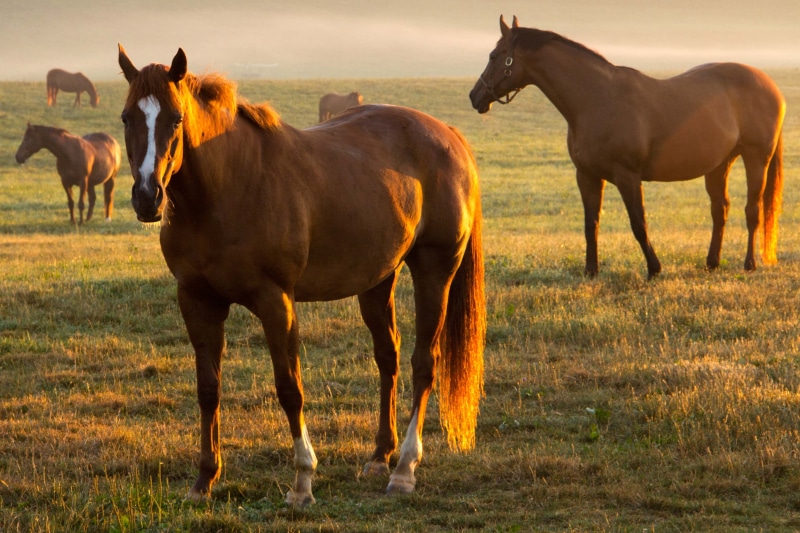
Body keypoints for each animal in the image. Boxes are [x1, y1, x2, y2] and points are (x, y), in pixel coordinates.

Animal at [118, 45, 485, 505]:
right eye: (127, 118)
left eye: (176, 119)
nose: (147, 196)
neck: (228, 188)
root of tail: (448, 135)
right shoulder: (197, 301)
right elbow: (208, 389)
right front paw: (205, 479)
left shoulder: (276, 302)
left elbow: (289, 387)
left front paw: (302, 480)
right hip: (377, 281)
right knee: (389, 357)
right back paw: (379, 456)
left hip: (435, 271)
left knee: (424, 363)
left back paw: (403, 468)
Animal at [470, 16, 785, 279]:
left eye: (495, 56)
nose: (475, 96)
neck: (596, 99)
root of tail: (770, 85)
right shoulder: (586, 176)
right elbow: (590, 224)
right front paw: (591, 270)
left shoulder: (628, 177)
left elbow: (638, 224)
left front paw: (655, 269)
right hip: (719, 165)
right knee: (720, 210)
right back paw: (712, 263)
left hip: (756, 159)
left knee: (752, 210)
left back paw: (749, 264)